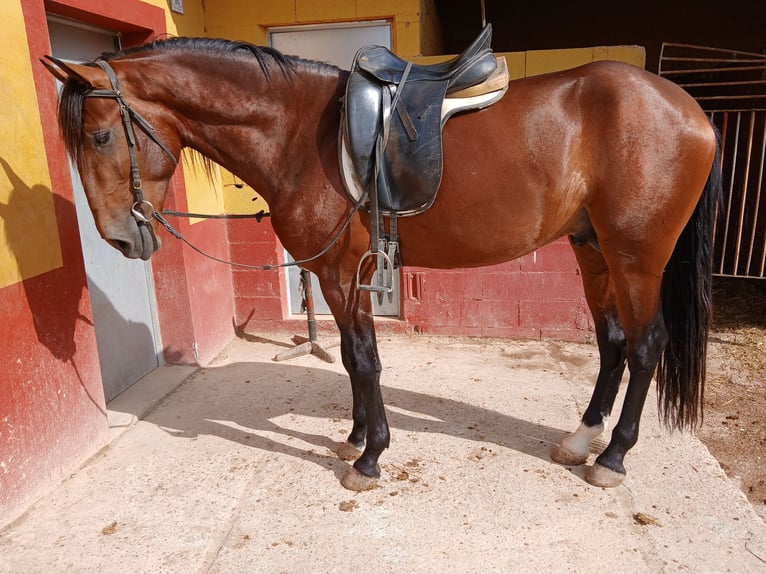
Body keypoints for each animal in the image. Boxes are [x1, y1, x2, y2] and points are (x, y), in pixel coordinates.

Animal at [45, 37, 724, 496]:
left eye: (100, 137)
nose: (120, 239)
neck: (298, 132)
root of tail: (691, 109)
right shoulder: (335, 274)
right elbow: (353, 358)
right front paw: (354, 437)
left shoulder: (341, 272)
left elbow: (363, 358)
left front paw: (370, 458)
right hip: (592, 251)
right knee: (612, 344)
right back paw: (581, 440)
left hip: (636, 258)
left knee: (646, 345)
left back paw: (613, 458)